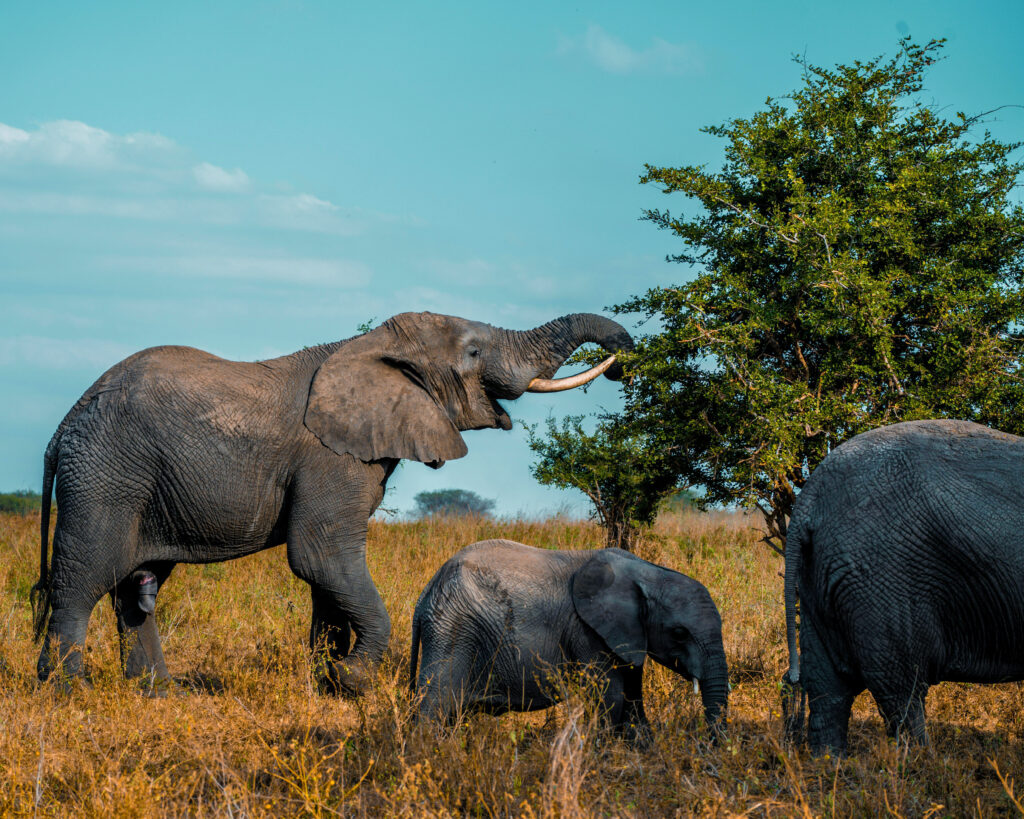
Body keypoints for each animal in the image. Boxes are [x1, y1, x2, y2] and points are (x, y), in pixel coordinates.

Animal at [30, 311, 633, 694]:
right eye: (474, 352)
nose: (625, 361)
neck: (369, 347)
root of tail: (61, 430)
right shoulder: (328, 457)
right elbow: (321, 558)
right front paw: (353, 680)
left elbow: (328, 575)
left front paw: (327, 683)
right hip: (105, 475)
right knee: (84, 579)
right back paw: (68, 692)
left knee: (137, 587)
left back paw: (161, 693)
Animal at [409, 539, 728, 744]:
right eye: (679, 633)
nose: (711, 745)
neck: (647, 572)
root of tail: (425, 594)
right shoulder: (586, 630)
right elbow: (610, 695)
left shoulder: (628, 635)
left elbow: (633, 695)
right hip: (453, 628)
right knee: (434, 704)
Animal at [783, 419, 1024, 754]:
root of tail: (809, 499)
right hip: (884, 577)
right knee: (901, 690)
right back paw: (924, 762)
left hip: (819, 575)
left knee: (827, 686)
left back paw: (829, 762)